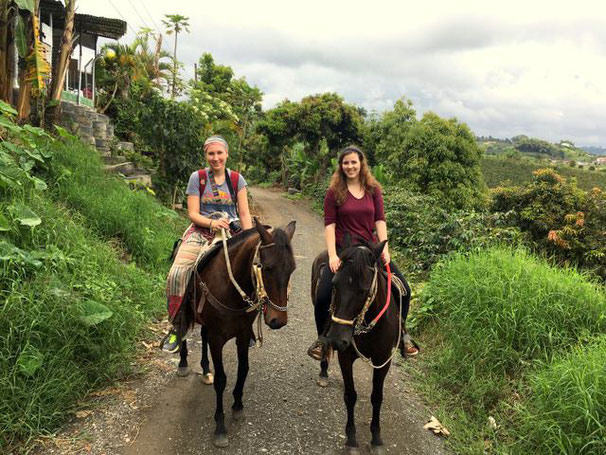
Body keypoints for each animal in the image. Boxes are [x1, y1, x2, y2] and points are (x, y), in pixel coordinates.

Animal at [178, 221, 296, 448]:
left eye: (292, 268)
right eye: (267, 268)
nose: (278, 321)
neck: (230, 287)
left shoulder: (242, 334)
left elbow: (243, 370)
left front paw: (238, 406)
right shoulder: (217, 339)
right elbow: (221, 379)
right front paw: (220, 426)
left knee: (202, 335)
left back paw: (205, 369)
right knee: (182, 330)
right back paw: (182, 363)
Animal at [314, 240, 404, 454]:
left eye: (364, 291)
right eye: (334, 284)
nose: (338, 340)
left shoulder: (383, 360)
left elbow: (377, 397)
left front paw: (376, 438)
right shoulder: (345, 357)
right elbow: (350, 396)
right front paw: (351, 439)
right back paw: (323, 372)